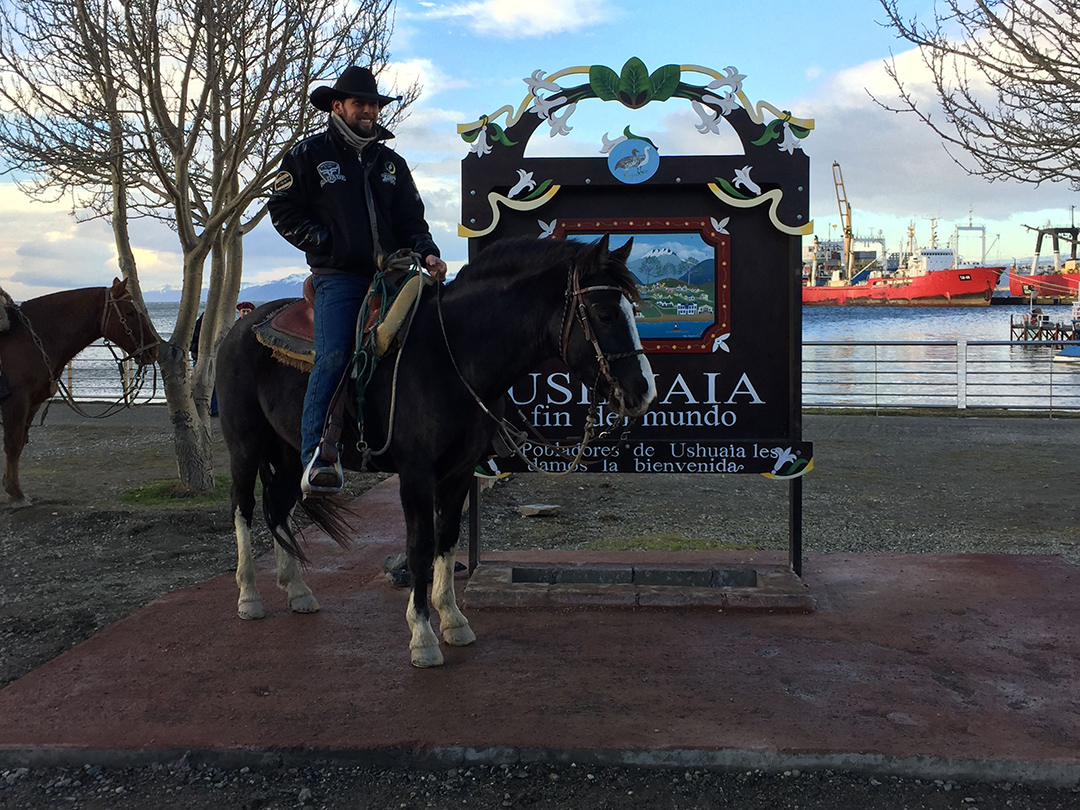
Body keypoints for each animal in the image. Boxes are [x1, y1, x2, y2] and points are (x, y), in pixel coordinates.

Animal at [0, 278, 158, 507]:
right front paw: (17, 495)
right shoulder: (16, 402)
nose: (154, 349)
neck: (27, 339)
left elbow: (19, 443)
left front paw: (14, 491)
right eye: (129, 312)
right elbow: (12, 444)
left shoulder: (32, 402)